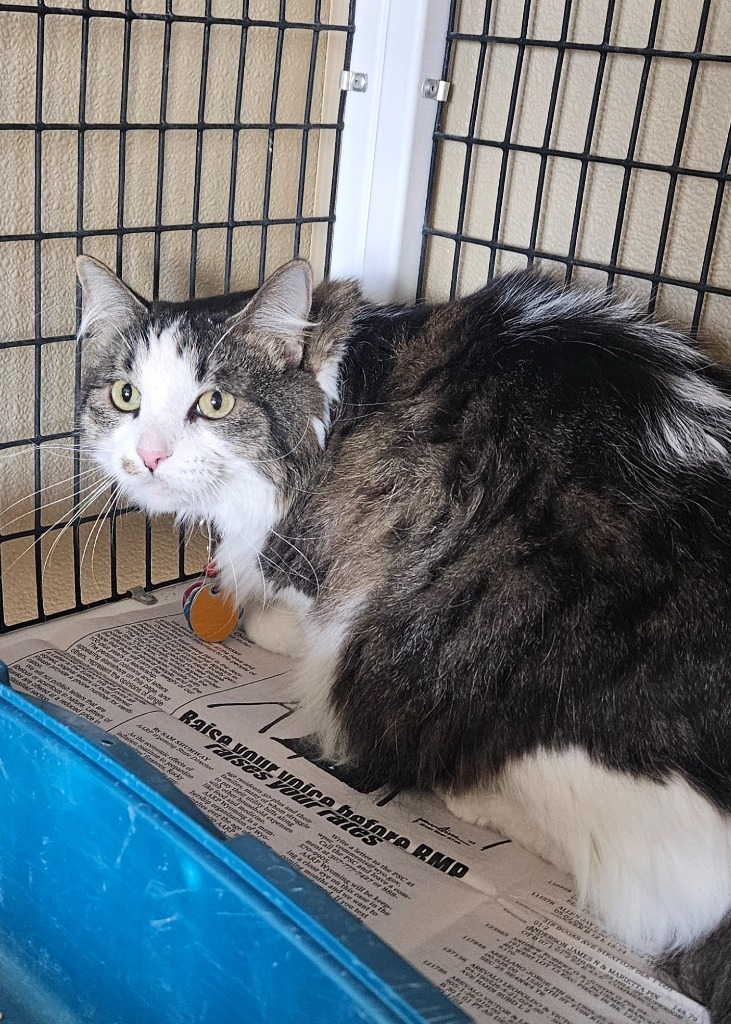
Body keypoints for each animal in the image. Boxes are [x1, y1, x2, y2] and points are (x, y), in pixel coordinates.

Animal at [75, 253, 728, 1015]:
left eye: (214, 404)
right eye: (125, 396)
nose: (147, 456)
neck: (337, 397)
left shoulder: (324, 572)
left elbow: (281, 611)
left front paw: (260, 611)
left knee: (622, 883)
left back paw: (478, 802)